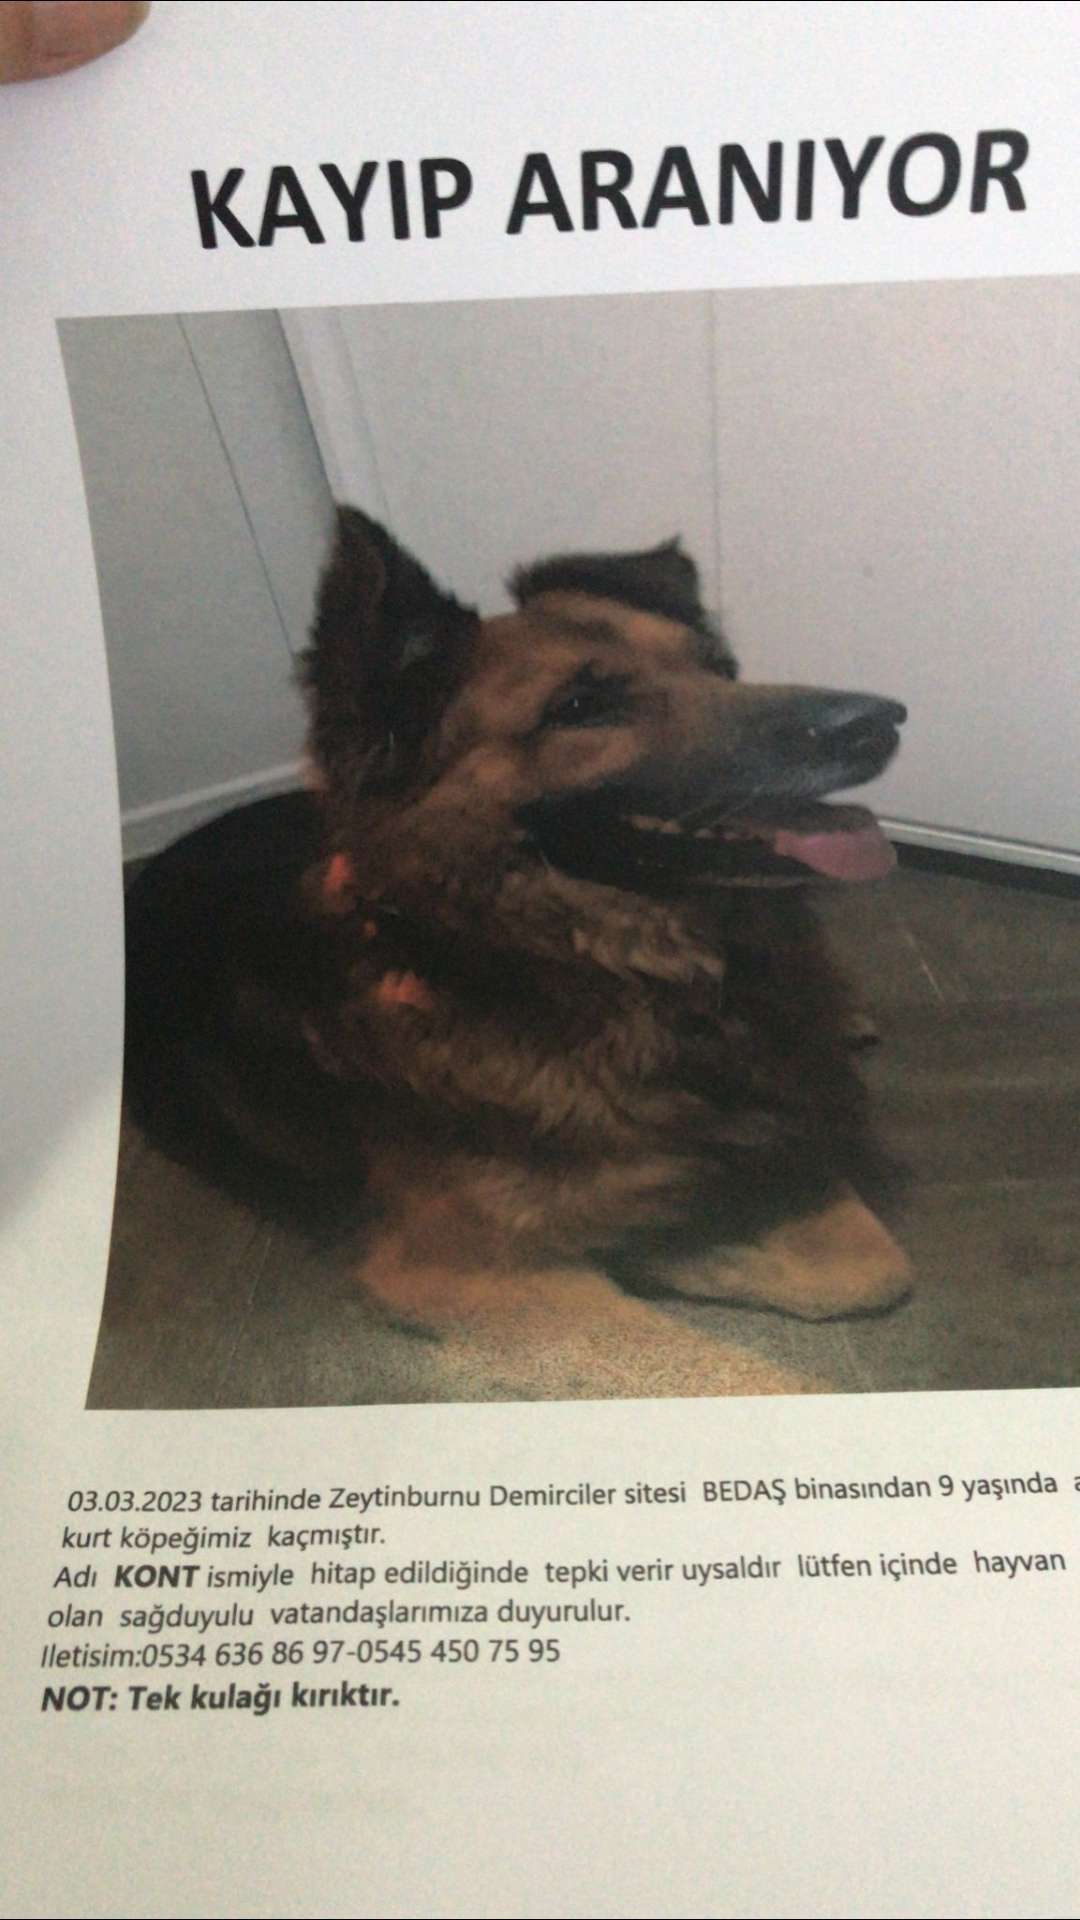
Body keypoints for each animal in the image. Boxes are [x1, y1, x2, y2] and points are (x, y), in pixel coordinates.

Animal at [123, 508, 910, 1399]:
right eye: (581, 705)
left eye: (719, 668)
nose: (880, 720)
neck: (561, 971)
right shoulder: (456, 1274)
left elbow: (871, 1265)